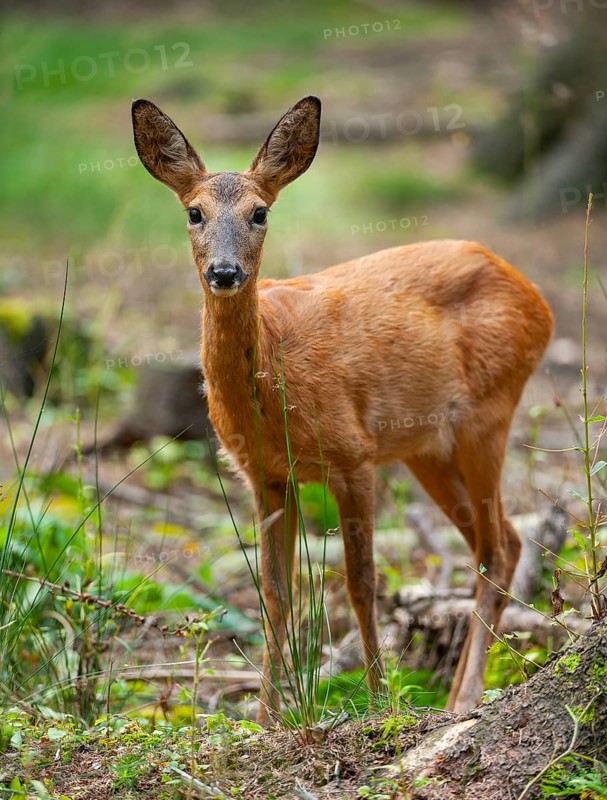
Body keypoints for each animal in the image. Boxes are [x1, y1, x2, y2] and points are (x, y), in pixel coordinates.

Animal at [131, 95, 553, 725]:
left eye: (260, 213)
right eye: (194, 212)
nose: (225, 273)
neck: (273, 386)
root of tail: (536, 298)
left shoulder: (353, 457)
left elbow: (361, 583)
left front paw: (379, 704)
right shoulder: (264, 475)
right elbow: (277, 592)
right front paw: (266, 718)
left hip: (489, 414)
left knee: (499, 545)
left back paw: (465, 697)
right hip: (428, 447)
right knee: (500, 543)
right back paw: (457, 694)